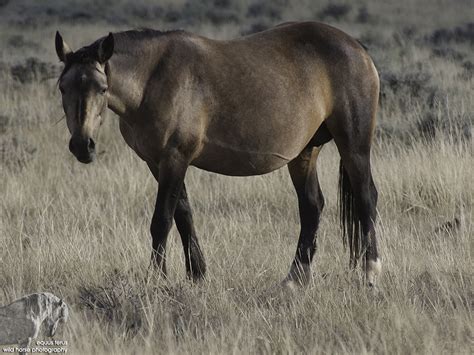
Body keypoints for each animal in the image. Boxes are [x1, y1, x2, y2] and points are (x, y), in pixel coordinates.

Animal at [54, 21, 382, 290]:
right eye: (62, 87)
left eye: (102, 87)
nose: (82, 145)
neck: (153, 79)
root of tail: (358, 49)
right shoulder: (157, 162)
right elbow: (183, 214)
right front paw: (197, 274)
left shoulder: (175, 157)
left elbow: (162, 220)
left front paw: (156, 279)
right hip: (305, 153)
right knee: (312, 207)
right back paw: (294, 279)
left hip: (353, 144)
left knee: (366, 197)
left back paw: (370, 273)